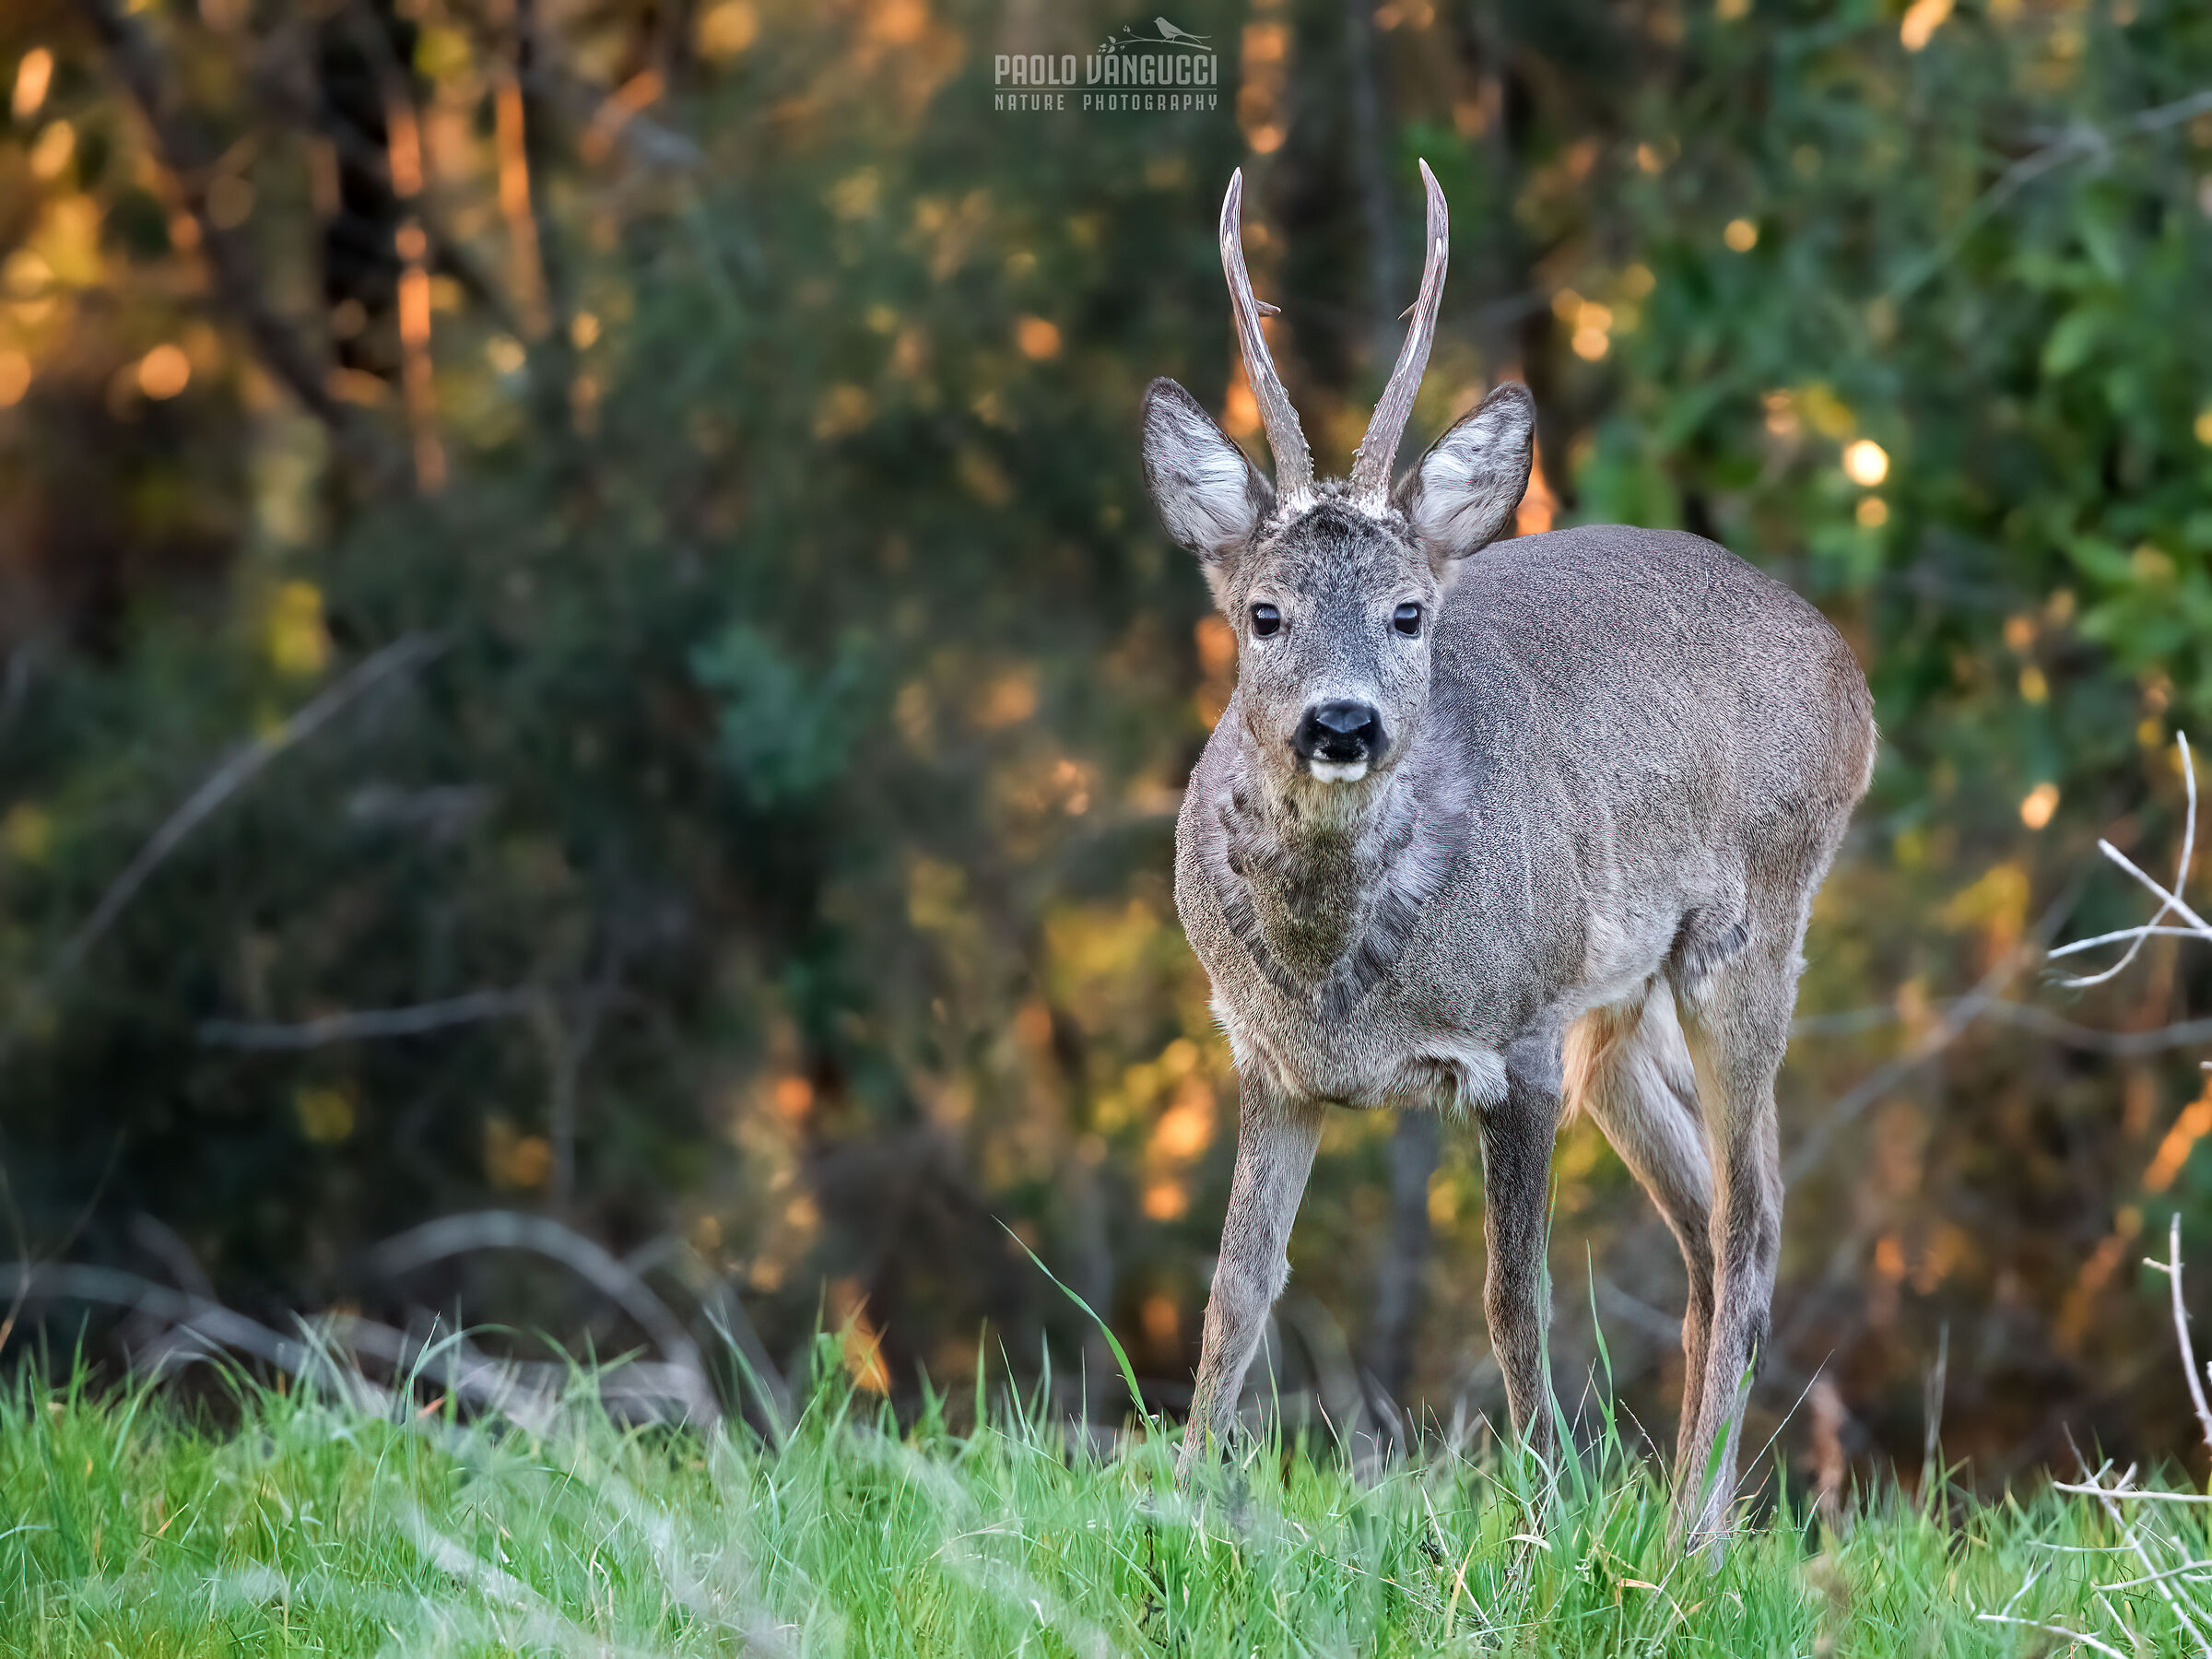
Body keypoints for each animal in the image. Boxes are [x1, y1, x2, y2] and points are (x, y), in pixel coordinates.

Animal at [1141, 161, 1874, 1547]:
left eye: (1408, 614)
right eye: (1263, 613)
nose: (1341, 723)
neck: (1341, 983)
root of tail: (1846, 666)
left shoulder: (1517, 1037)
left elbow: (1510, 1297)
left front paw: (1540, 1518)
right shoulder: (1266, 1059)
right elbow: (1233, 1293)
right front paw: (1174, 1507)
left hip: (1753, 926)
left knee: (1751, 1224)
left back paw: (1688, 1540)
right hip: (1618, 1012)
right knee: (1705, 1228)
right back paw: (1686, 1517)